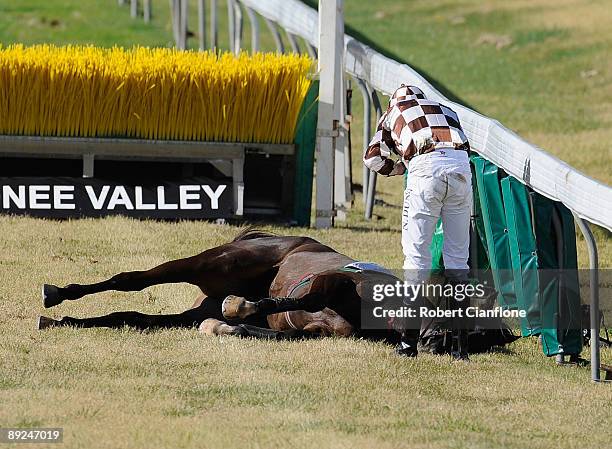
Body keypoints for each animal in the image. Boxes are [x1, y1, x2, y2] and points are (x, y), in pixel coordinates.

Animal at [38, 229, 402, 342]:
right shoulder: (335, 281)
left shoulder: (320, 330)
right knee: (131, 280)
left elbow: (275, 333)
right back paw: (57, 295)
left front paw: (224, 326)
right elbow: (305, 299)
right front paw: (240, 307)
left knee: (132, 317)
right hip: (215, 265)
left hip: (197, 304)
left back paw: (60, 321)